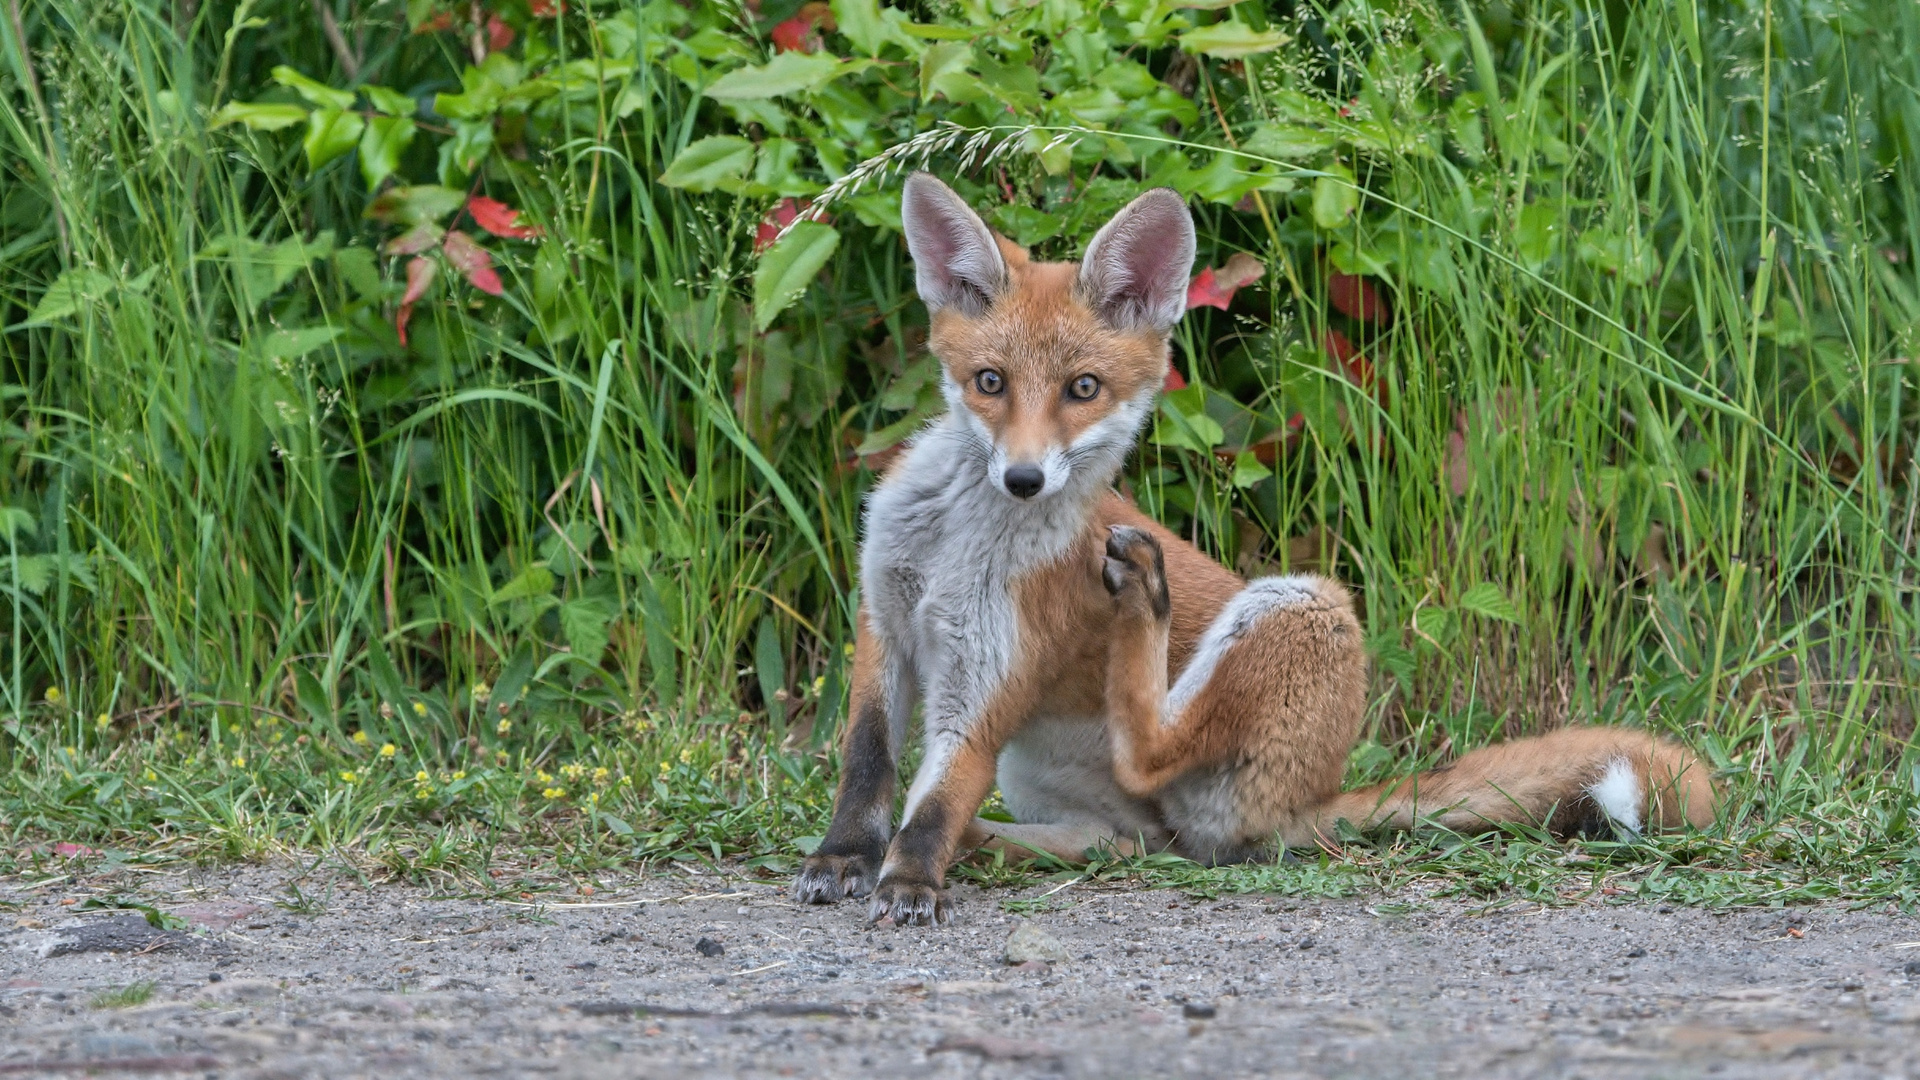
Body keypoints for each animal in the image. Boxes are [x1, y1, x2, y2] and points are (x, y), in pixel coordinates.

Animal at [787, 171, 1720, 922]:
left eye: (1083, 389)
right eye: (990, 383)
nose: (1022, 479)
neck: (955, 547)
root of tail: (1317, 793)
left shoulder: (991, 672)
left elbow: (934, 801)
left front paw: (911, 878)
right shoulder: (886, 624)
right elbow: (868, 768)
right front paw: (845, 859)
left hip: (1300, 602)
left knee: (1148, 755)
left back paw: (1144, 600)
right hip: (1046, 772)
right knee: (1118, 841)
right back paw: (993, 840)